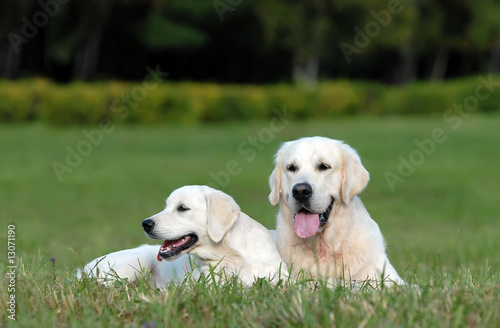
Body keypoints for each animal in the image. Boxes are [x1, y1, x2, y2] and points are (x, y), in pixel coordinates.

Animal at [80, 186, 288, 288]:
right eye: (166, 206)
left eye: (182, 208)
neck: (233, 256)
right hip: (136, 262)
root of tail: (80, 270)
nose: (145, 224)